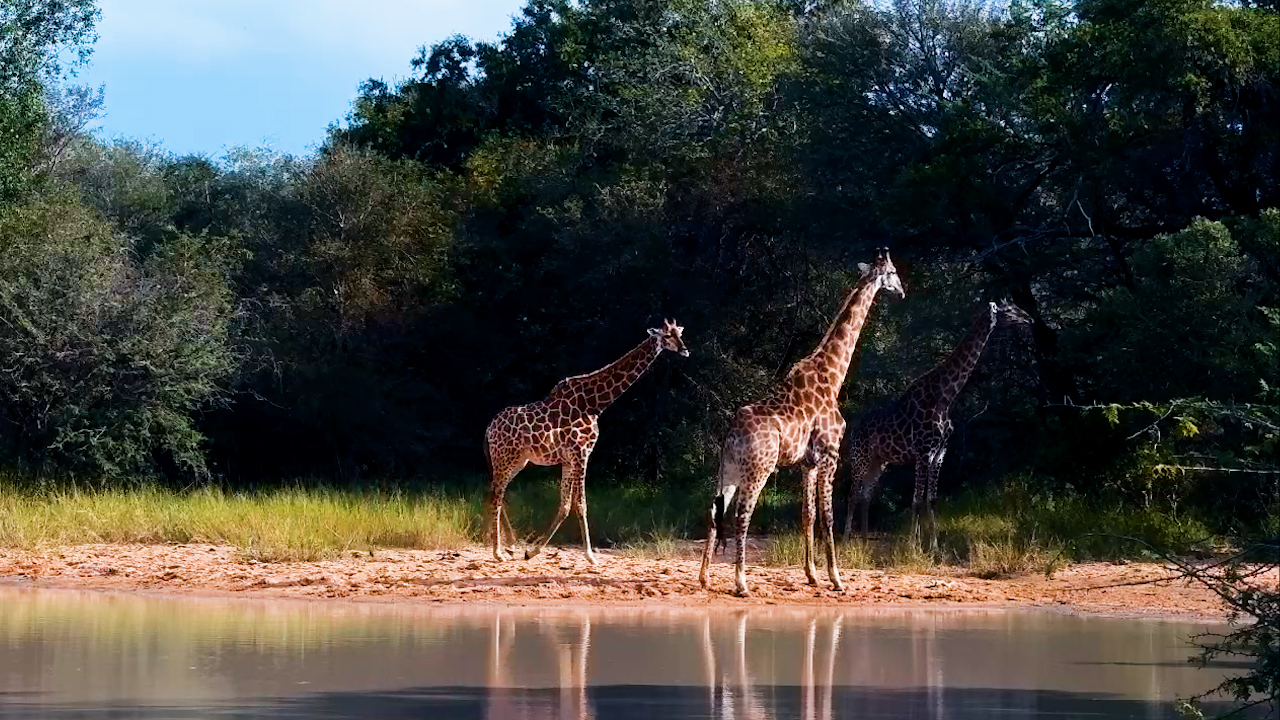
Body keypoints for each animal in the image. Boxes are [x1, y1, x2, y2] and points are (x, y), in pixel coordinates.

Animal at [485, 319, 689, 564]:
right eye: (667, 335)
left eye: (679, 333)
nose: (685, 350)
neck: (595, 404)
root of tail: (489, 429)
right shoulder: (582, 452)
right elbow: (581, 504)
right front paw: (591, 556)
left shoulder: (568, 459)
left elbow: (564, 505)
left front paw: (531, 551)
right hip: (505, 459)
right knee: (496, 494)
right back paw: (497, 552)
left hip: (516, 461)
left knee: (496, 492)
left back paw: (510, 546)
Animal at [699, 249, 904, 596]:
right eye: (892, 272)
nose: (902, 291)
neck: (833, 375)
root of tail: (731, 433)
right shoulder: (830, 455)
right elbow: (828, 517)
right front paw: (836, 579)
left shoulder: (807, 463)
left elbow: (808, 515)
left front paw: (812, 575)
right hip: (759, 469)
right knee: (742, 515)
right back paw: (741, 583)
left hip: (728, 469)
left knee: (715, 510)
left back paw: (704, 578)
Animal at [842, 301, 1031, 550]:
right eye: (1009, 310)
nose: (1029, 319)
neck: (945, 396)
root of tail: (853, 429)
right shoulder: (924, 452)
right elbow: (916, 500)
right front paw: (913, 546)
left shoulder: (939, 453)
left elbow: (930, 499)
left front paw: (933, 546)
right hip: (860, 457)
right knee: (852, 494)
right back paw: (844, 539)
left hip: (879, 461)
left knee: (866, 495)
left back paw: (864, 541)